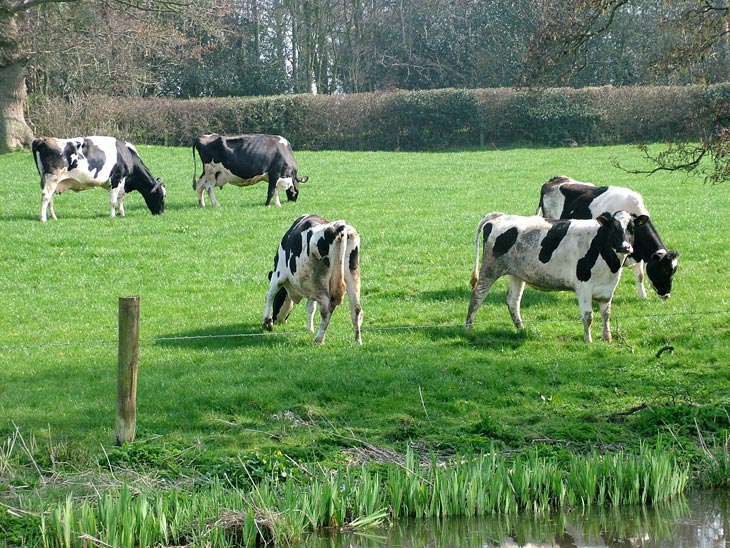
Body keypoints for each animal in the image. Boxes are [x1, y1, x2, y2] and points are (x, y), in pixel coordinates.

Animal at [32, 136, 166, 222]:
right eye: (160, 196)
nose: (161, 213)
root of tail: (42, 139)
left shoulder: (122, 182)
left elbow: (120, 199)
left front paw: (121, 213)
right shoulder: (116, 178)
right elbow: (113, 201)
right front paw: (112, 216)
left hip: (47, 180)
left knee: (50, 198)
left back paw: (54, 217)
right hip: (53, 178)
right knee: (46, 196)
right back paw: (43, 219)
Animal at [264, 213, 362, 342]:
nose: (276, 320)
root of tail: (338, 226)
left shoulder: (278, 274)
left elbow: (270, 294)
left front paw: (267, 323)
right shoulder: (309, 284)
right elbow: (311, 306)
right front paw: (309, 329)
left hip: (320, 281)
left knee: (326, 309)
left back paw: (319, 339)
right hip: (352, 275)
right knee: (356, 308)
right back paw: (358, 340)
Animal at [466, 211, 644, 342]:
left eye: (632, 228)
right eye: (614, 228)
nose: (625, 247)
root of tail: (498, 216)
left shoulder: (607, 289)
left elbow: (606, 314)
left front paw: (607, 338)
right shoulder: (583, 287)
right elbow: (588, 316)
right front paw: (588, 340)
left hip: (517, 273)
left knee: (512, 301)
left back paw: (521, 328)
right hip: (490, 268)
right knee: (477, 295)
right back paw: (468, 327)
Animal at [536, 176, 676, 300]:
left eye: (674, 271)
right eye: (665, 270)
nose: (666, 295)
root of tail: (555, 179)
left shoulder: (637, 251)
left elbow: (640, 275)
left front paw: (643, 296)